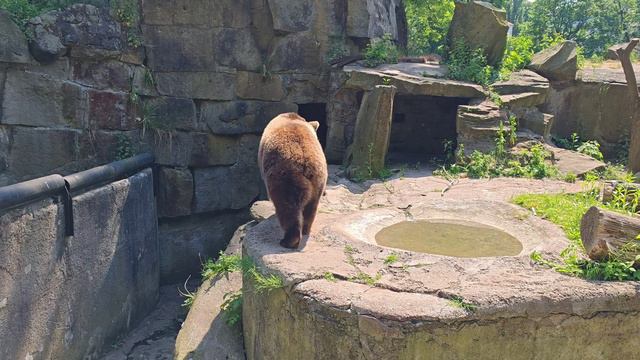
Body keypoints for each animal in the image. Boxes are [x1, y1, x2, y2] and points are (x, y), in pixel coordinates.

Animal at [258, 114, 330, 249]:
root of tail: (306, 162)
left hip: (285, 178)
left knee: (287, 207)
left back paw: (288, 241)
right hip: (318, 180)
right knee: (311, 207)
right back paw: (306, 229)